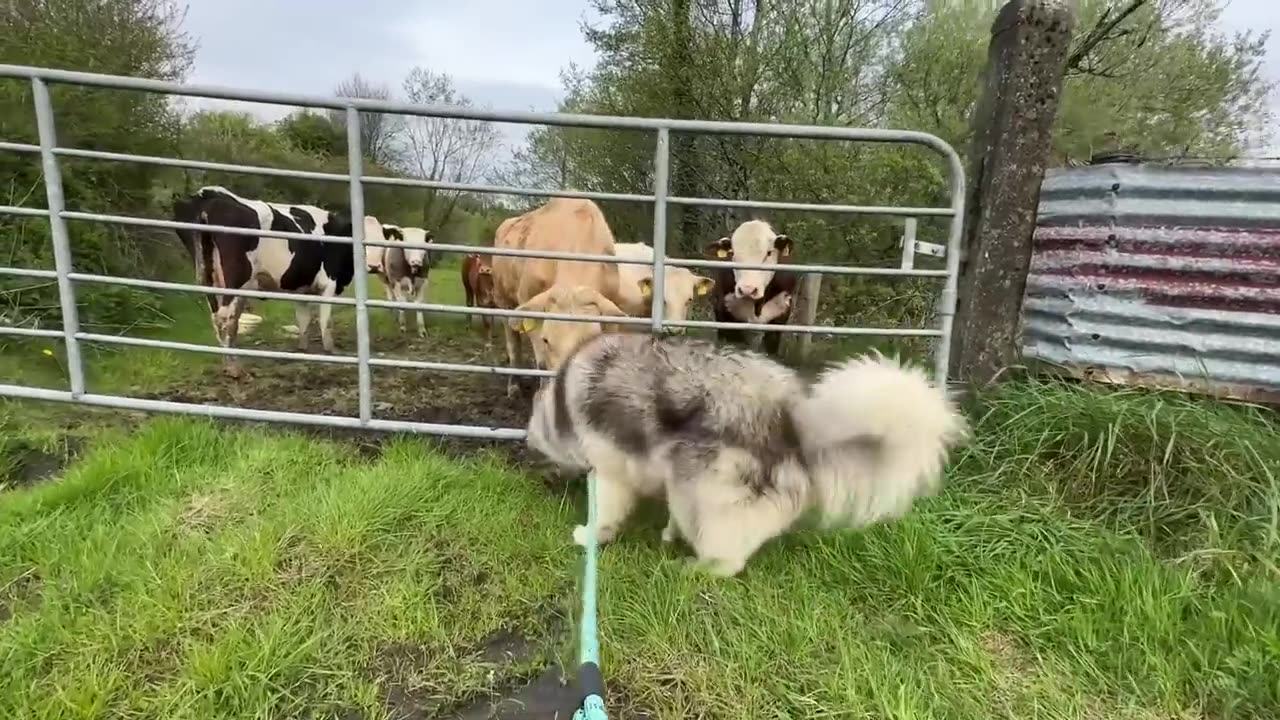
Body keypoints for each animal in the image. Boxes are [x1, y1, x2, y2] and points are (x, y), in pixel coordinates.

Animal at [171, 183, 355, 376]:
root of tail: (208, 197)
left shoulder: (300, 287)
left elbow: (303, 319)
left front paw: (303, 349)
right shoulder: (329, 283)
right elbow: (325, 320)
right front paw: (330, 350)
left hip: (208, 278)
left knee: (220, 317)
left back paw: (227, 363)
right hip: (236, 279)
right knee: (225, 317)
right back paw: (234, 368)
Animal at [524, 333, 962, 576]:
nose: (528, 448)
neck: (562, 397)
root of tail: (793, 423)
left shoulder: (611, 472)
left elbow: (605, 513)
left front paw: (590, 535)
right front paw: (666, 533)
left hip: (698, 487)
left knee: (727, 561)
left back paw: (694, 569)